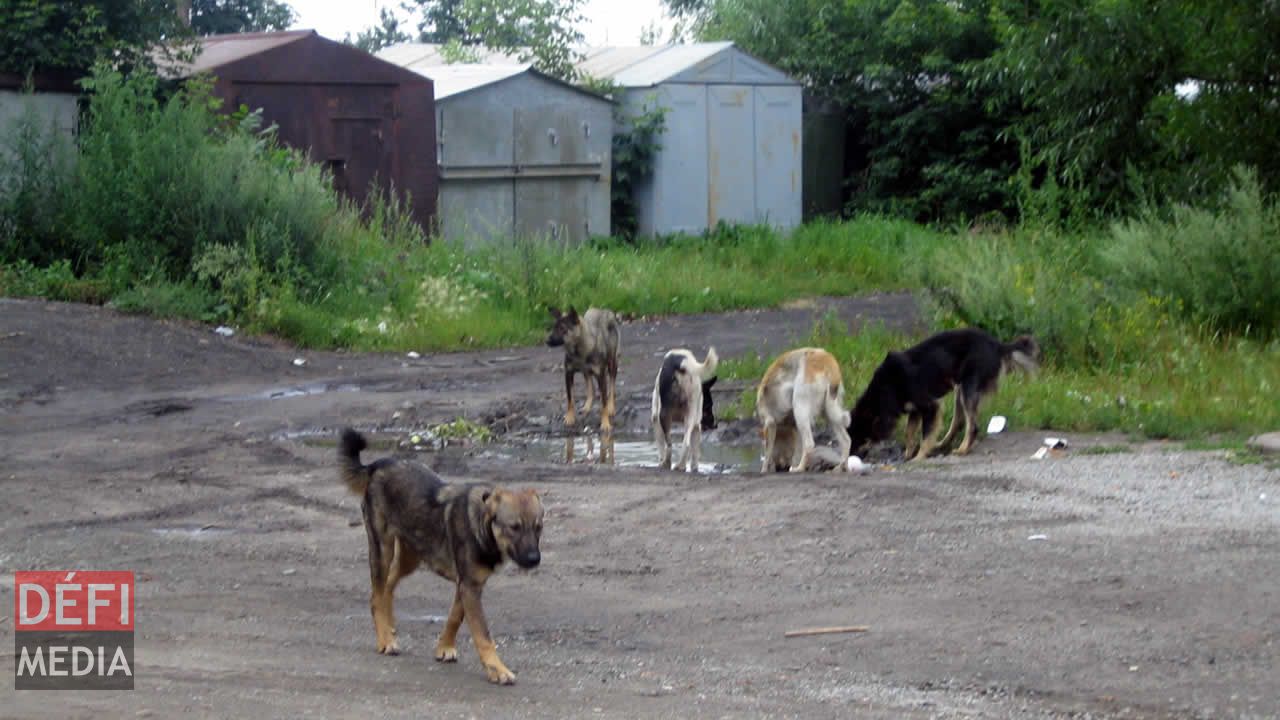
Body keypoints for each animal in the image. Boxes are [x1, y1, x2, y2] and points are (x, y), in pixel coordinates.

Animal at [337, 425, 542, 681]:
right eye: (514, 527)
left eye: (538, 527)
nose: (535, 559)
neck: (482, 525)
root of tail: (377, 465)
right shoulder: (469, 588)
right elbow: (483, 635)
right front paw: (497, 669)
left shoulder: (468, 585)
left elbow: (454, 618)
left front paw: (444, 647)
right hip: (382, 549)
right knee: (376, 595)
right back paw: (385, 640)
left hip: (411, 556)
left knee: (389, 586)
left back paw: (389, 625)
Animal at [849, 326, 1039, 458]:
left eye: (859, 439)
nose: (849, 456)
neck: (885, 389)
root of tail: (998, 345)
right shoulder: (915, 409)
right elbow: (909, 433)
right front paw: (908, 454)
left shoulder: (929, 405)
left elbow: (925, 435)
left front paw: (918, 457)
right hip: (960, 389)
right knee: (959, 422)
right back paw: (942, 445)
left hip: (968, 387)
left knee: (972, 426)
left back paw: (962, 449)